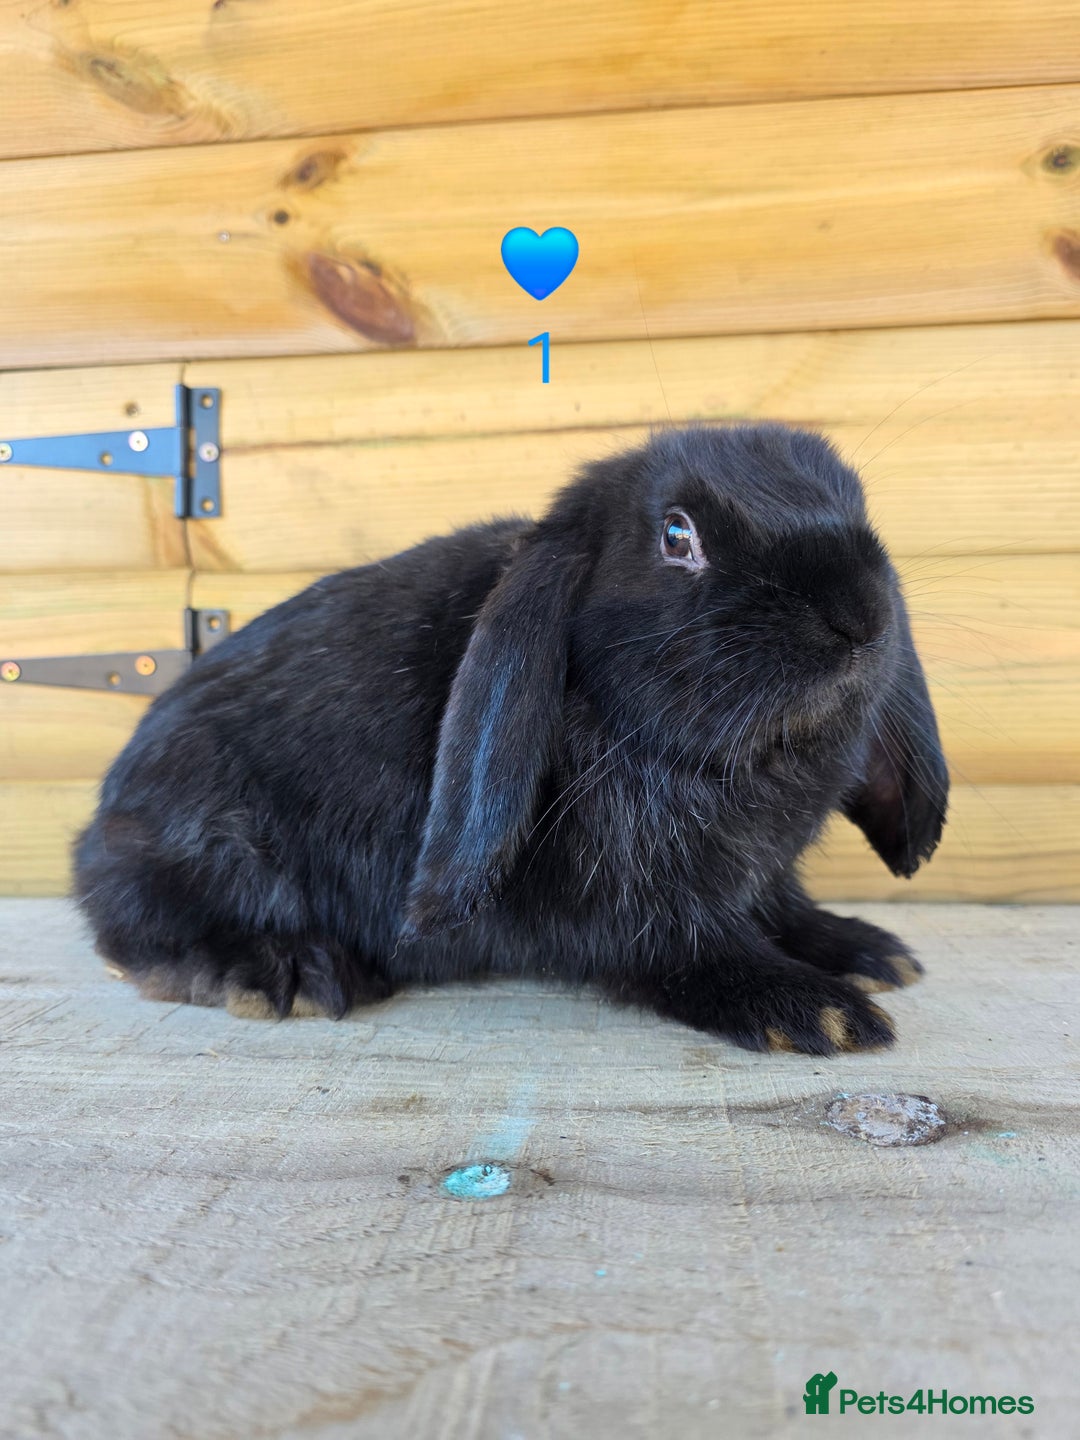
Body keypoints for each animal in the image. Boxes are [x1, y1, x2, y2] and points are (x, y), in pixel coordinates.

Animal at [73, 422, 948, 1055]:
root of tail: (100, 825)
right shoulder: (629, 898)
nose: (861, 616)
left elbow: (784, 903)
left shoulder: (762, 875)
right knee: (139, 934)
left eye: (856, 501)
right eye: (676, 536)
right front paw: (813, 1008)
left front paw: (865, 952)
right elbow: (688, 944)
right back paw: (282, 971)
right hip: (203, 836)